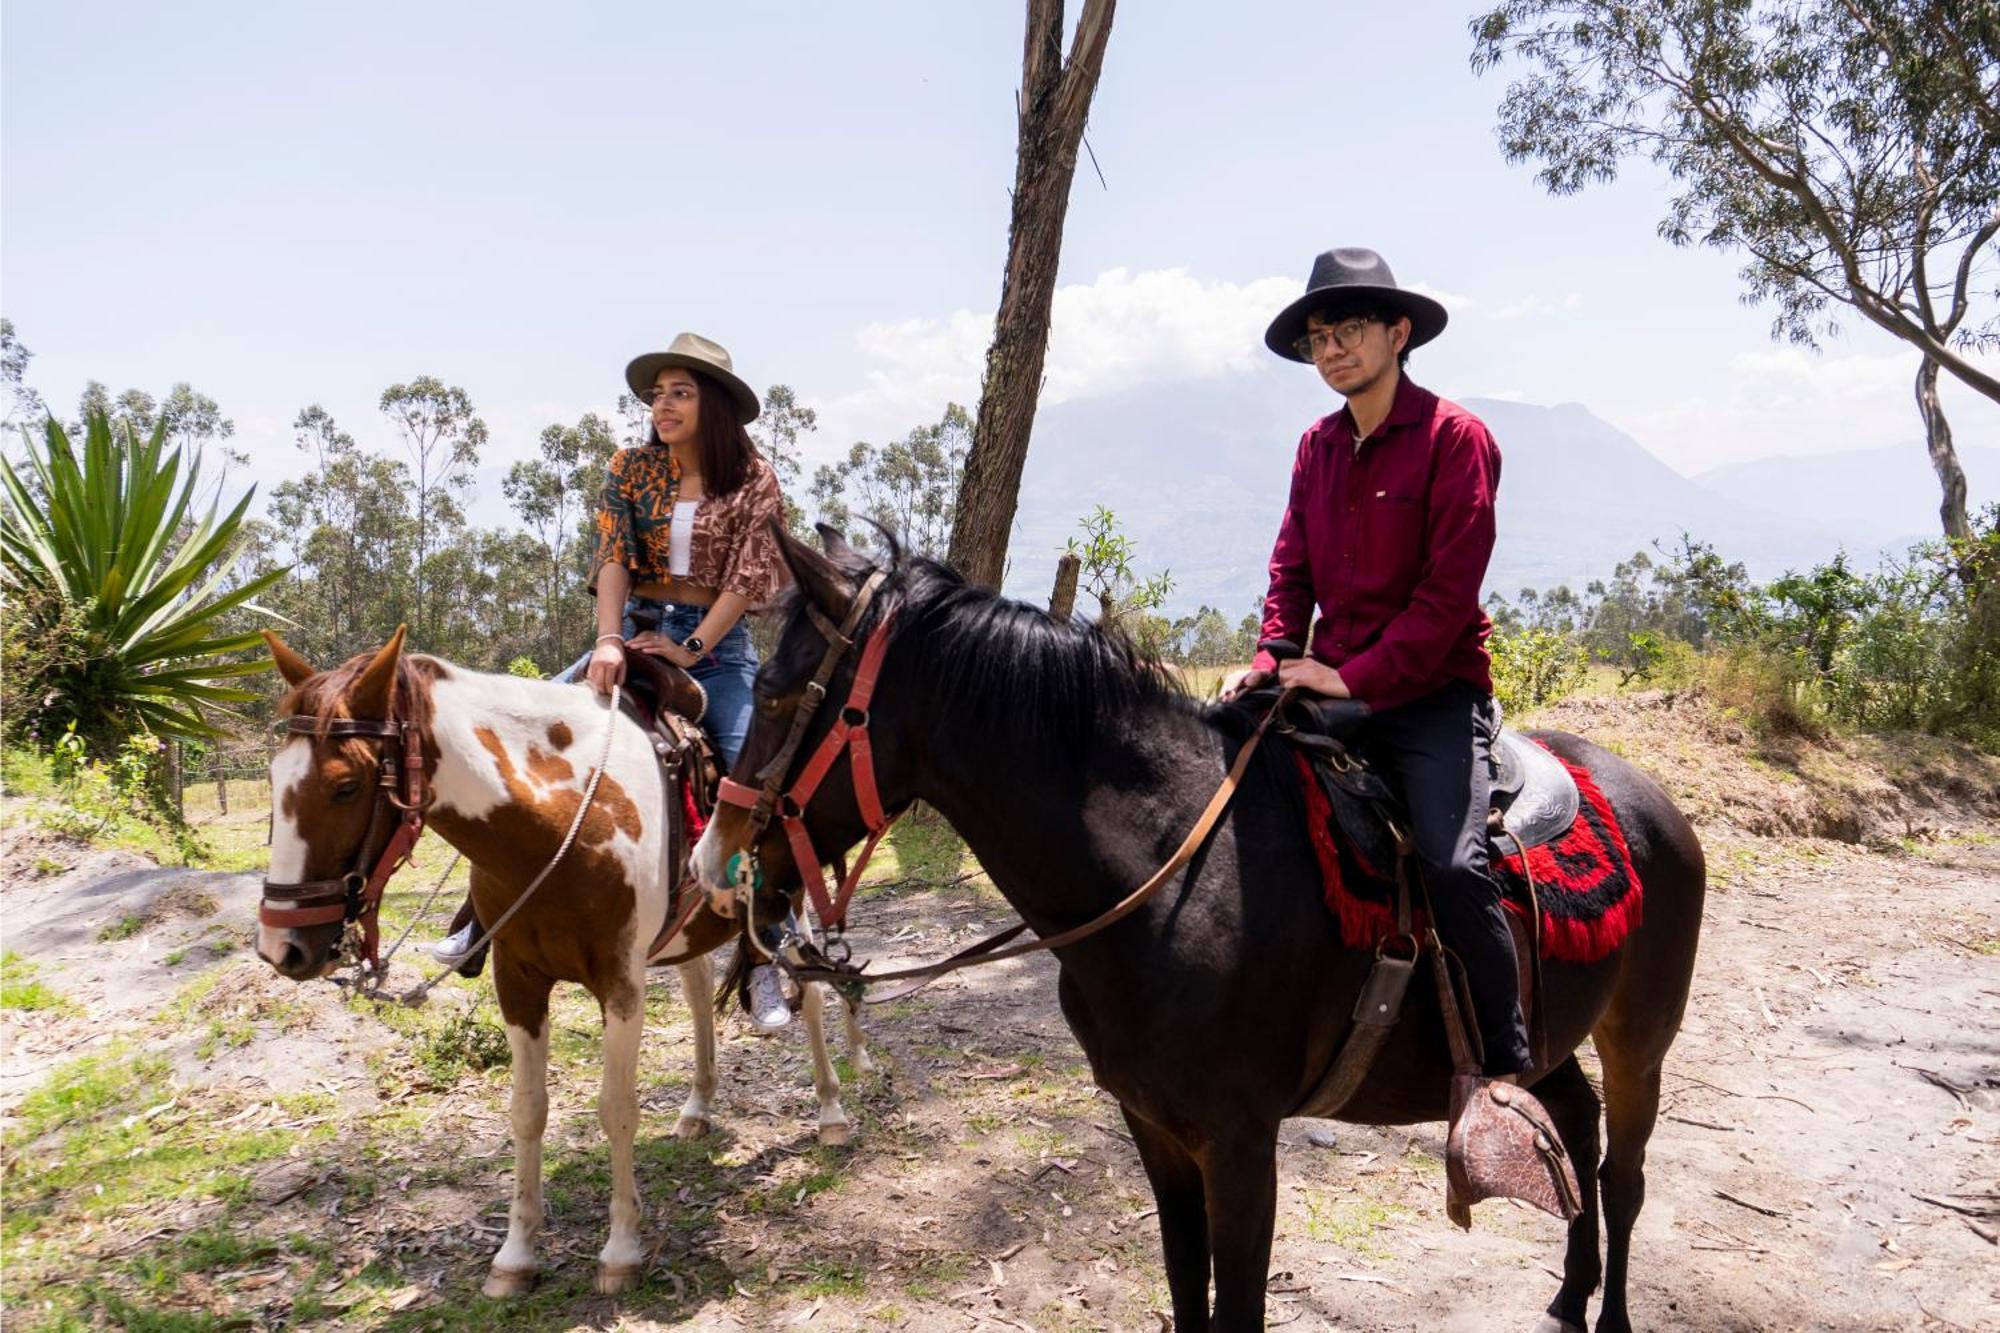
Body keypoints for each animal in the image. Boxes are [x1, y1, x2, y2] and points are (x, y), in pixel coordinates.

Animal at [254, 628, 872, 1288]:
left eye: (346, 786)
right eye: (273, 777)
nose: (281, 946)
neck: (566, 817)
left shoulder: (620, 985)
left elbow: (616, 1108)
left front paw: (621, 1250)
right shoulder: (518, 981)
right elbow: (527, 1110)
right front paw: (516, 1255)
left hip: (789, 903)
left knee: (811, 994)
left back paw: (832, 1113)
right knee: (699, 988)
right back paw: (698, 1106)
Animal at [700, 528, 1704, 1328]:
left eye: (781, 691)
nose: (716, 863)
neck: (1170, 874)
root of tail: (1654, 801)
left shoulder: (1240, 1145)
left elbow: (1237, 1307)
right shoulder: (1155, 1128)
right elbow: (1188, 1289)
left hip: (1639, 1039)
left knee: (1622, 1173)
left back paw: (1610, 1310)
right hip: (1546, 1032)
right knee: (1573, 1119)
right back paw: (1569, 1289)